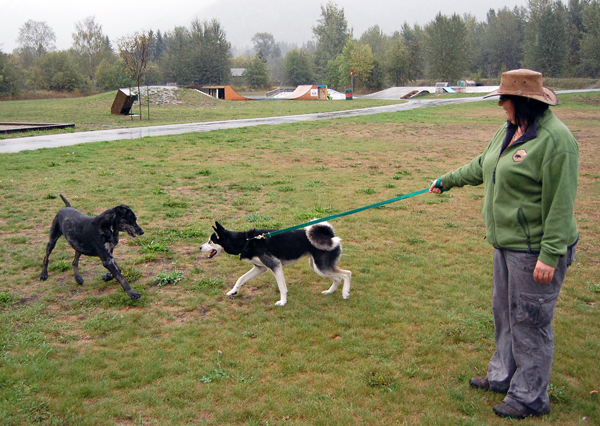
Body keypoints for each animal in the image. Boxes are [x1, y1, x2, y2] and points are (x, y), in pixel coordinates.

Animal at [202, 221, 352, 304]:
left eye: (210, 241)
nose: (199, 247)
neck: (246, 241)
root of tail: (330, 236)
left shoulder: (275, 265)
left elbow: (282, 288)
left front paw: (282, 302)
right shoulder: (260, 268)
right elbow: (241, 279)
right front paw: (233, 291)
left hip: (321, 267)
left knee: (347, 274)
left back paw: (345, 293)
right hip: (317, 267)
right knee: (337, 278)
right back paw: (329, 292)